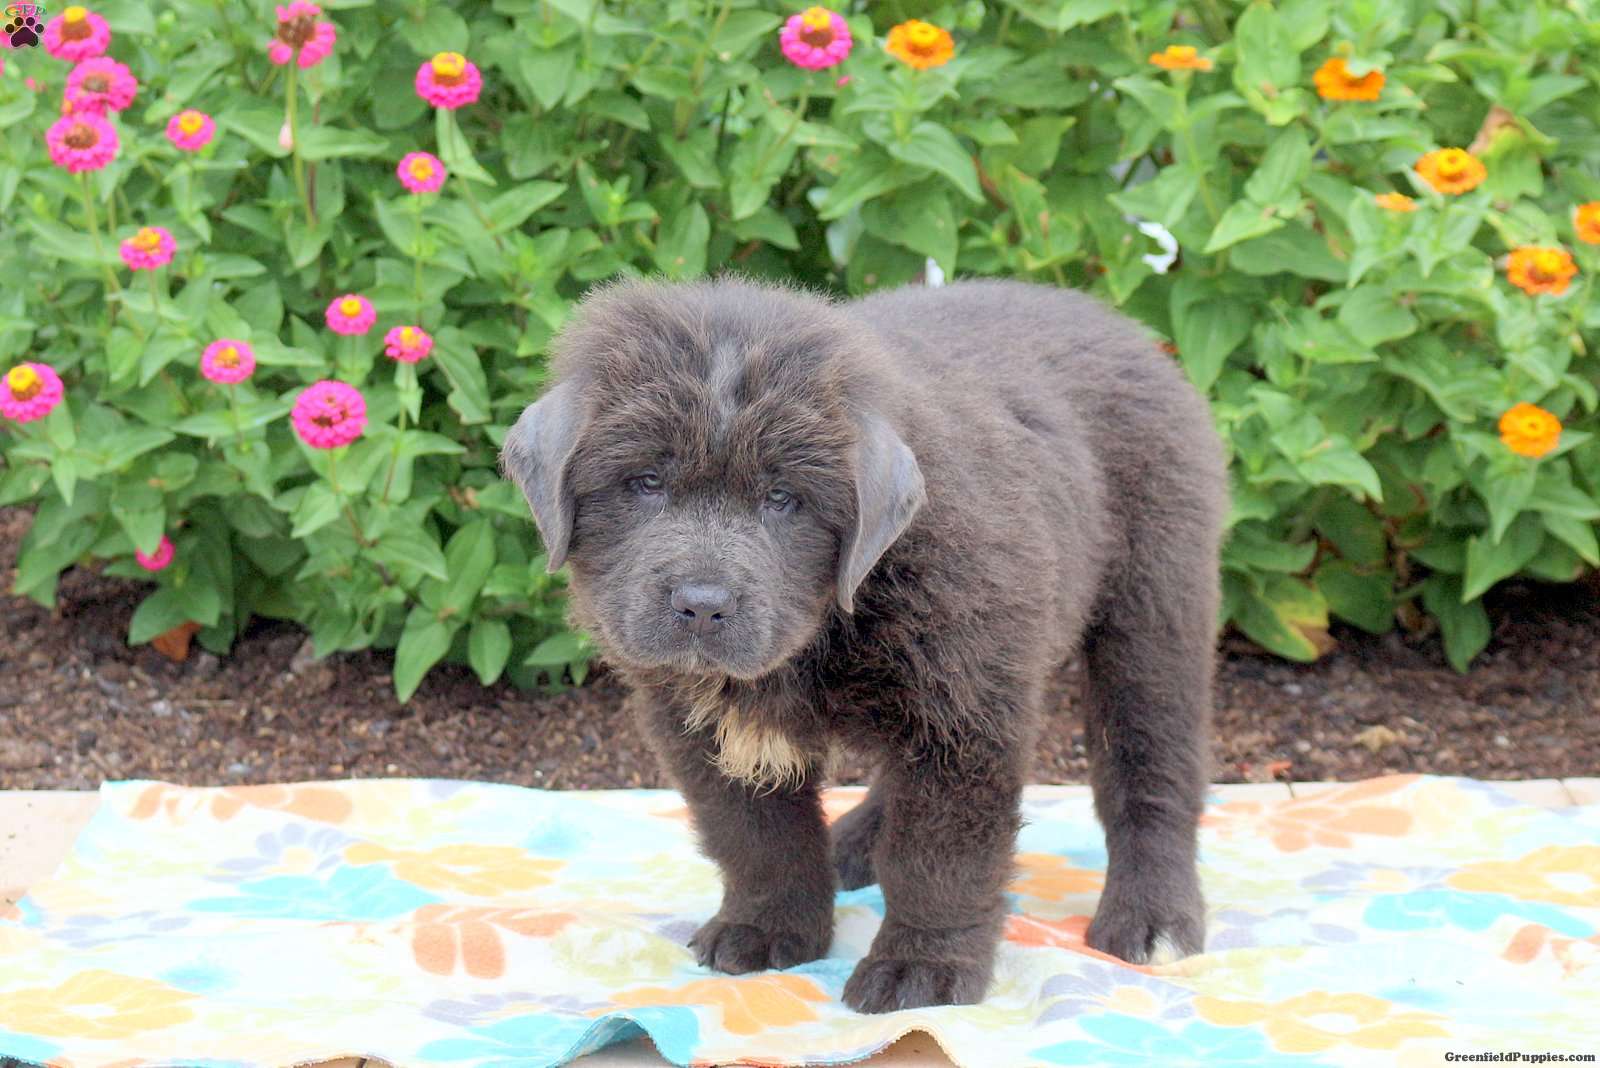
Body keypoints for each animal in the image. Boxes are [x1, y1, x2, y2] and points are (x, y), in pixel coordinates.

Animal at [499, 273, 1222, 1010]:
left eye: (782, 498)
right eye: (646, 482)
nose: (702, 605)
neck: (829, 625)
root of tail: (1122, 327)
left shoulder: (966, 711)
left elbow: (939, 855)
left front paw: (922, 968)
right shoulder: (699, 722)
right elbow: (757, 836)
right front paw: (766, 929)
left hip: (1154, 610)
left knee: (1151, 769)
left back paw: (1154, 918)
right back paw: (854, 843)